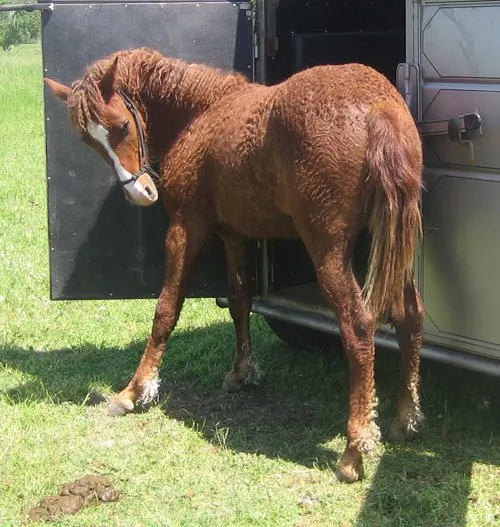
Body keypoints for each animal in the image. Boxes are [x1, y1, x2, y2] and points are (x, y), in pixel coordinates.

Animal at [45, 47, 424, 484]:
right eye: (90, 141)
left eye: (122, 125)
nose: (141, 193)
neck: (201, 113)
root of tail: (377, 106)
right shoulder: (234, 237)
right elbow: (239, 300)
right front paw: (241, 373)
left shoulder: (186, 228)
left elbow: (166, 309)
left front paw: (134, 391)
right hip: (397, 238)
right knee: (410, 317)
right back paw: (405, 419)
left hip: (328, 247)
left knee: (359, 326)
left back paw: (354, 451)